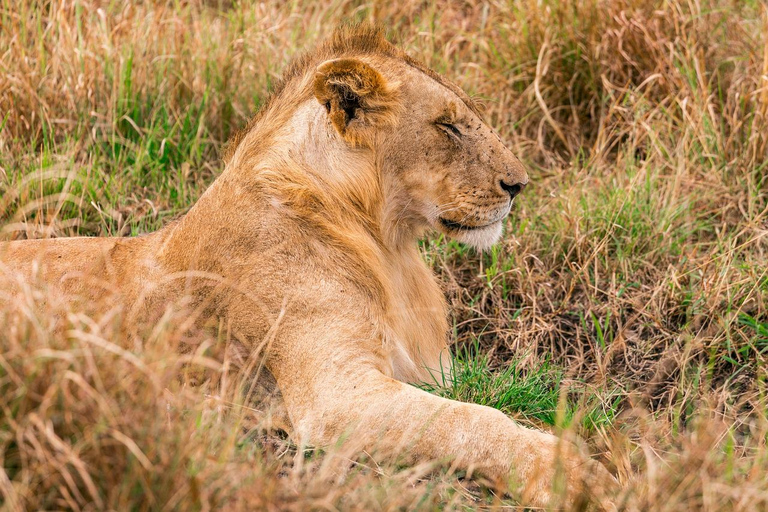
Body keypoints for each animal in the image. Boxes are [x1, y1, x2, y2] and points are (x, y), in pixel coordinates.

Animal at [0, 25, 616, 508]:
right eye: (448, 126)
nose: (519, 185)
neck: (387, 244)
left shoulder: (429, 368)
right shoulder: (334, 394)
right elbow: (471, 419)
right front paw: (574, 476)